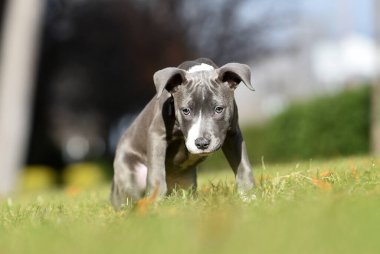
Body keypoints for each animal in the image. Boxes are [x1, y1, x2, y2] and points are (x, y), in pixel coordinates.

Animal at [111, 58, 256, 208]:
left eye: (219, 109)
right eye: (185, 110)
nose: (201, 143)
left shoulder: (233, 135)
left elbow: (243, 166)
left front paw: (247, 196)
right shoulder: (157, 134)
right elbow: (156, 175)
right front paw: (155, 203)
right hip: (129, 174)